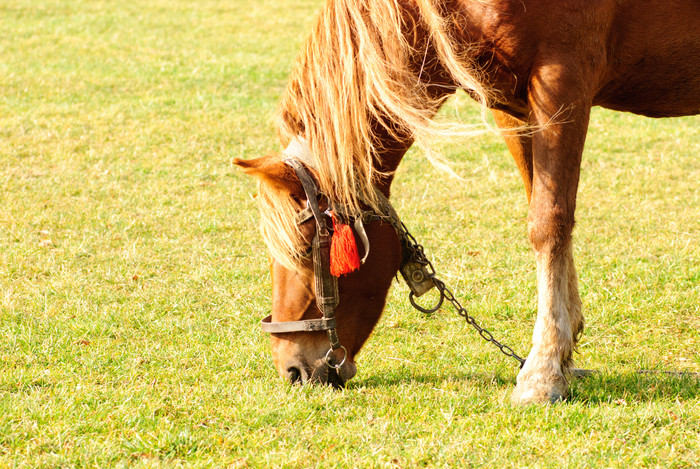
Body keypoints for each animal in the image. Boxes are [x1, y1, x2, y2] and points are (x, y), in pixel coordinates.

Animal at [235, 0, 700, 402]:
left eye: (303, 249)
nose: (292, 369)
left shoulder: (563, 83)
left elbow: (548, 222)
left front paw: (543, 370)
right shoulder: (513, 105)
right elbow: (545, 210)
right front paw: (564, 350)